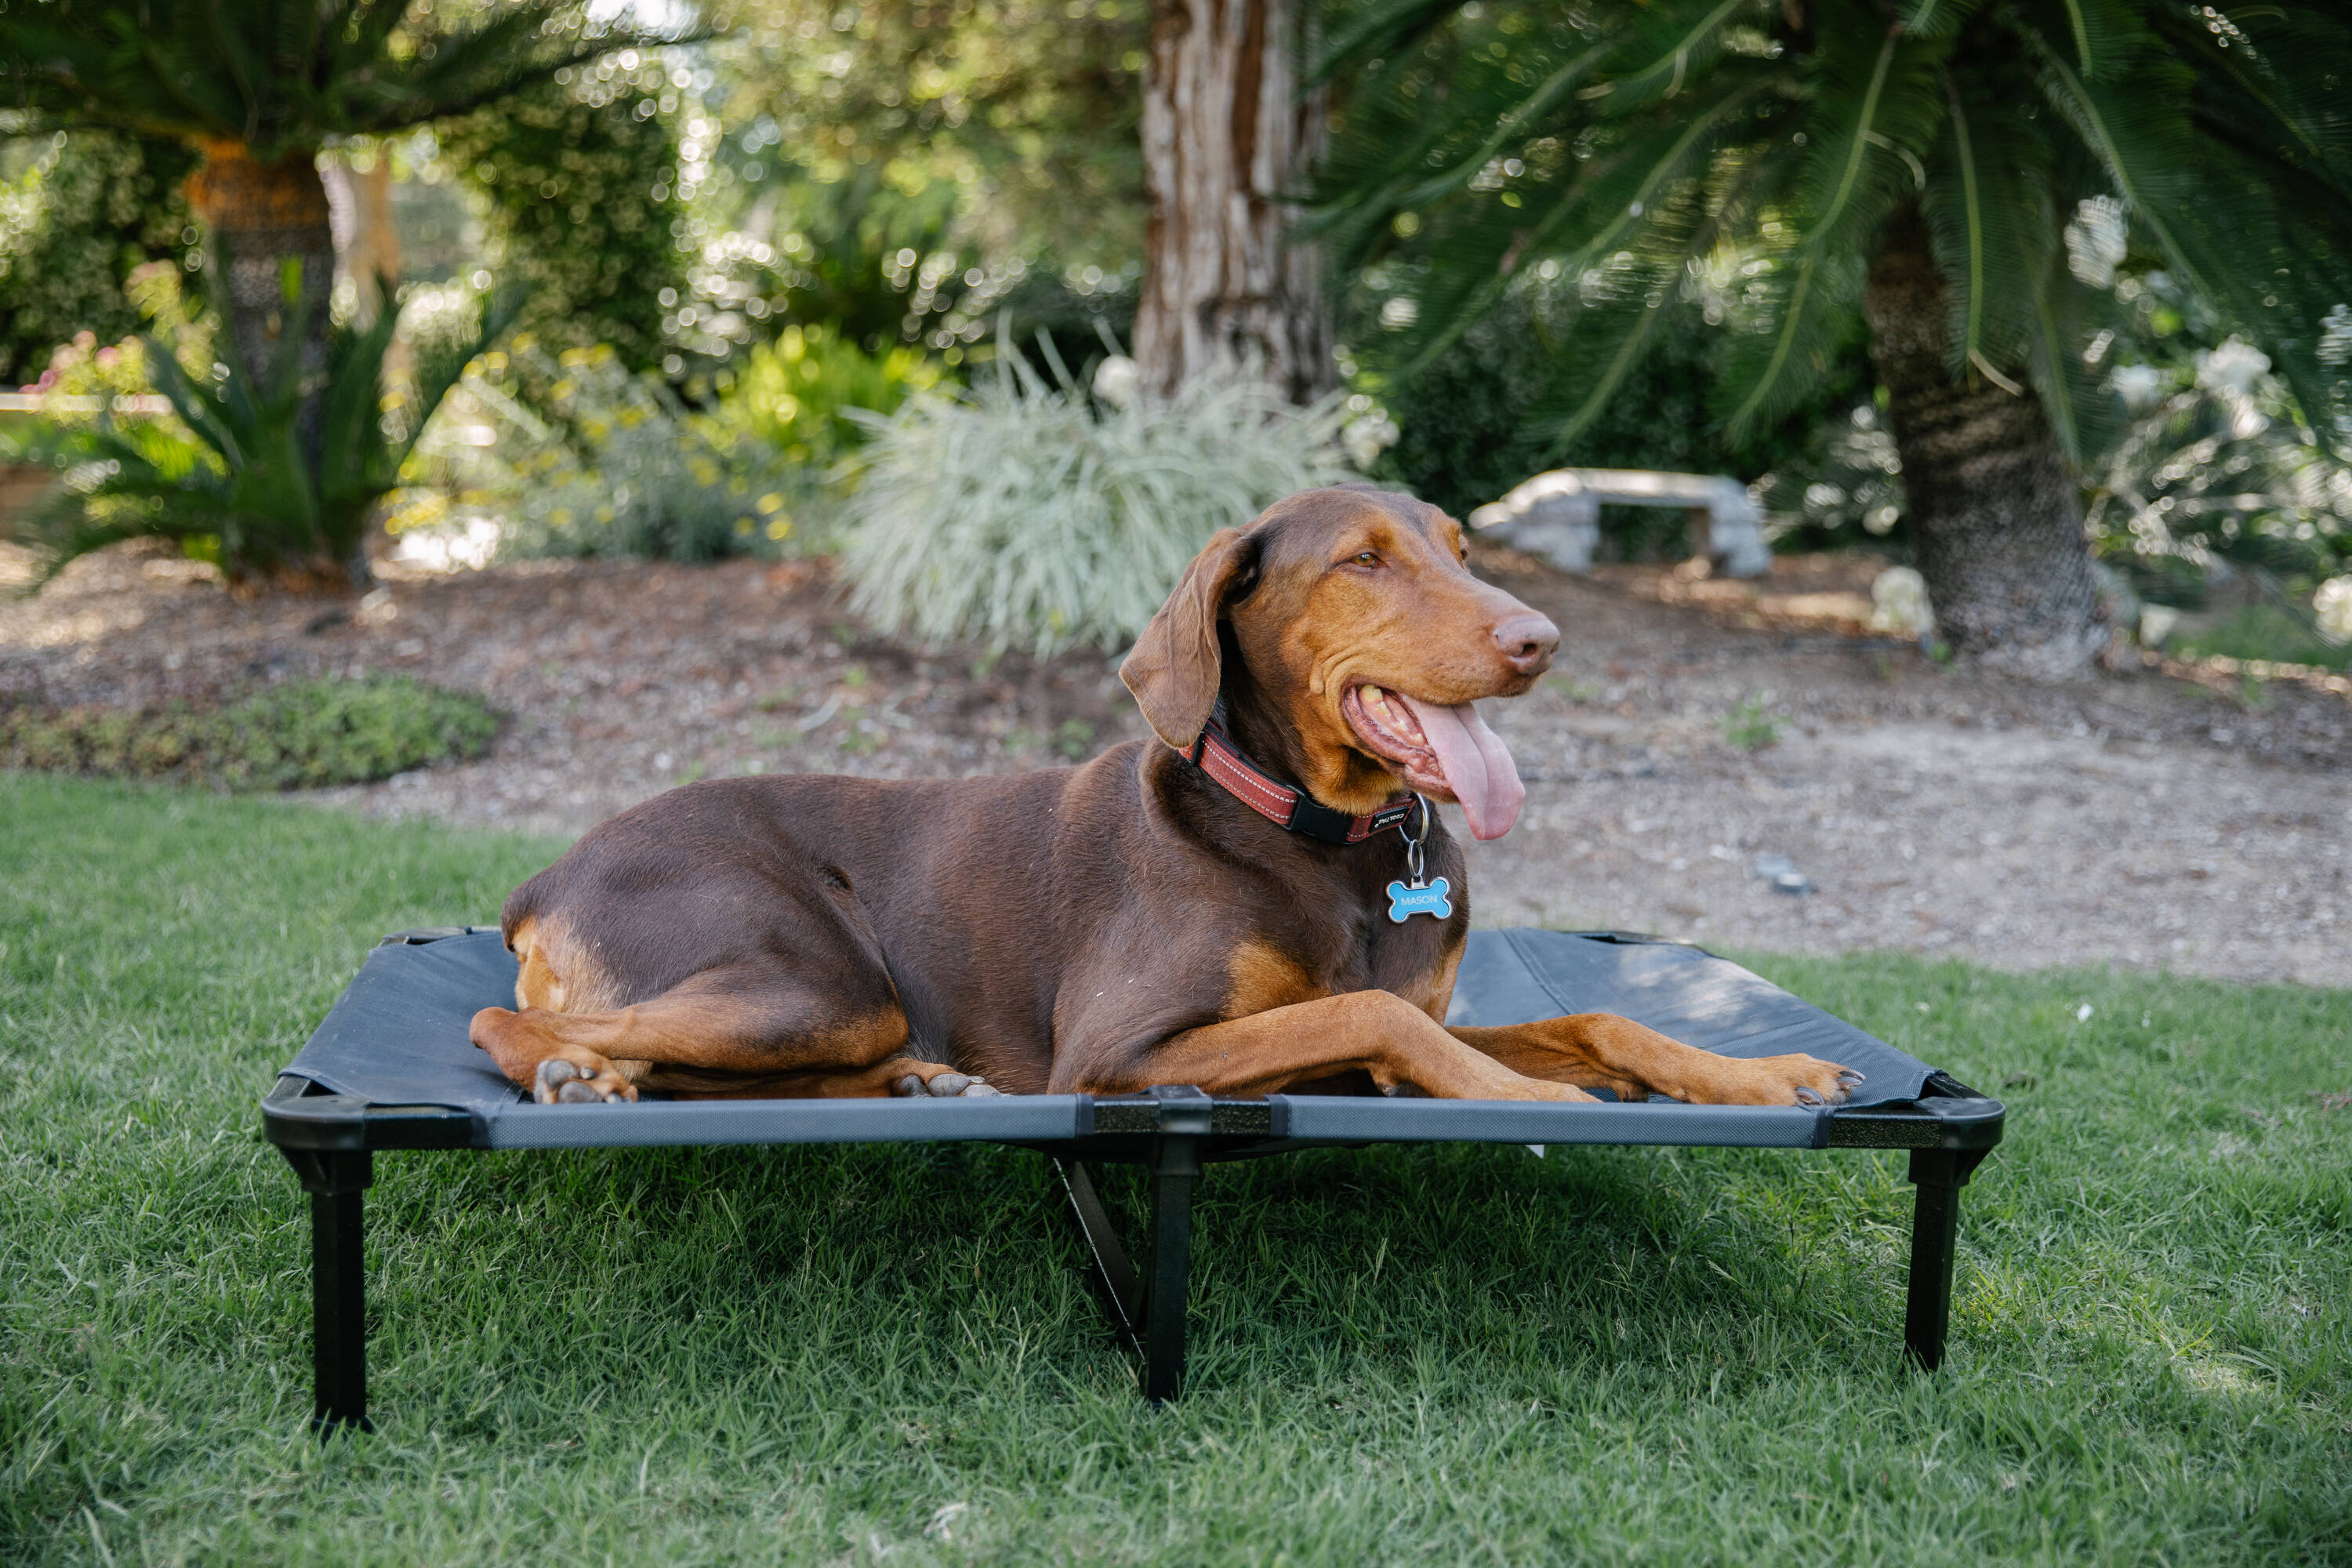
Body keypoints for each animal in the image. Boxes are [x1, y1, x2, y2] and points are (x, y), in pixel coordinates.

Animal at [463, 484, 1853, 1109]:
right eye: (1362, 562)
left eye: (1462, 549)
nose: (1541, 639)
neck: (1330, 841)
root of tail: (542, 876)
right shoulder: (1121, 1053)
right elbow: (1375, 1017)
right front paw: (1537, 1102)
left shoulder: (1419, 1012)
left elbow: (1598, 1017)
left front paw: (1763, 1071)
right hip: (814, 982)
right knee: (508, 1025)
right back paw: (575, 1080)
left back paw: (927, 1088)